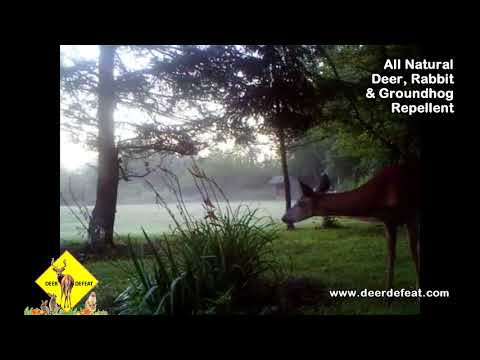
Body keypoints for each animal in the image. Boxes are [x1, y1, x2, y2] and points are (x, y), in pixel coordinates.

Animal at [282, 159, 420, 292]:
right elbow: (391, 256)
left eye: (300, 203)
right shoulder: (388, 221)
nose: (284, 217)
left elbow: (414, 254)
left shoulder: (411, 217)